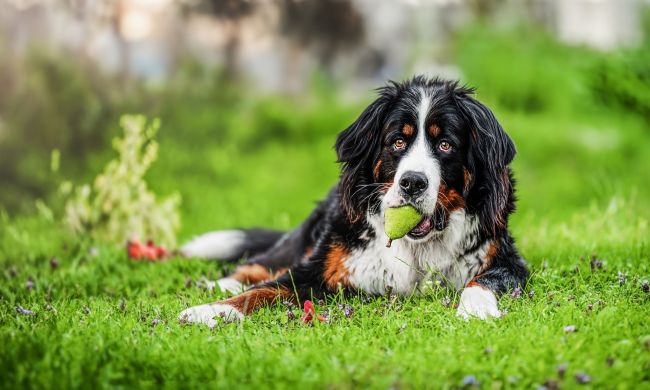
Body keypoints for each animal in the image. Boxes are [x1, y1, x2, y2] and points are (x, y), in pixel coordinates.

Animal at [176, 76, 528, 326]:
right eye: (397, 142)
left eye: (445, 145)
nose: (412, 183)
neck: (415, 248)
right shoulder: (319, 268)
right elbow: (264, 289)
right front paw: (210, 312)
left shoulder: (505, 261)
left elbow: (482, 282)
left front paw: (476, 311)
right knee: (259, 265)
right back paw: (216, 285)